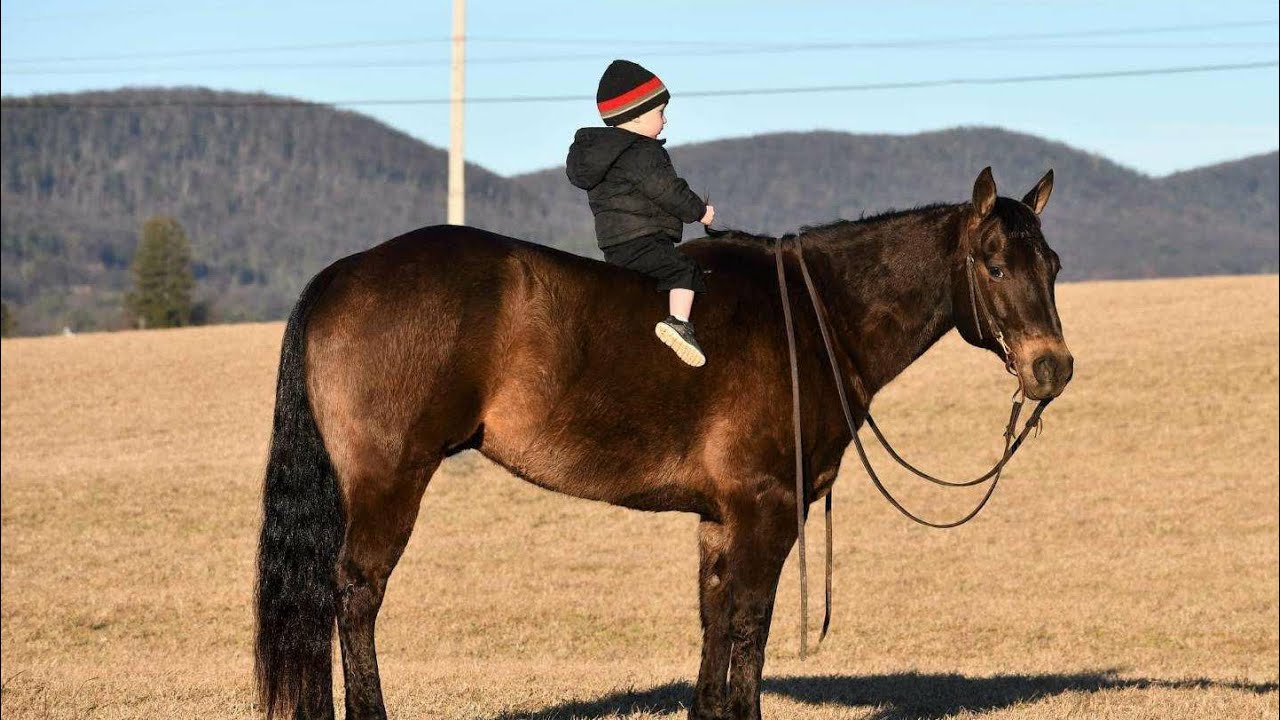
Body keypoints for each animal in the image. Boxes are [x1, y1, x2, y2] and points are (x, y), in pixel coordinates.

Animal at [254, 167, 1074, 720]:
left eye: (1054, 265)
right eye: (995, 264)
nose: (1052, 368)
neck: (810, 320)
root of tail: (345, 273)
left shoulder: (719, 518)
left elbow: (714, 621)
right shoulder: (767, 510)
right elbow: (750, 622)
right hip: (390, 482)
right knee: (356, 594)